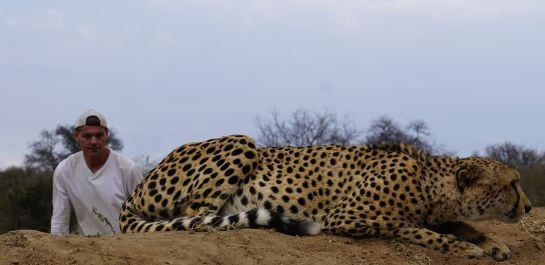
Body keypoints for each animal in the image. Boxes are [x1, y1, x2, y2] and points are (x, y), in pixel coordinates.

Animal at [120, 134, 532, 260]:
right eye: (511, 183)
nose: (528, 206)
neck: (430, 181)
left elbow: (464, 225)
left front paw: (492, 243)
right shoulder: (345, 217)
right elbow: (406, 227)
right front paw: (464, 248)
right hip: (240, 142)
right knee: (194, 218)